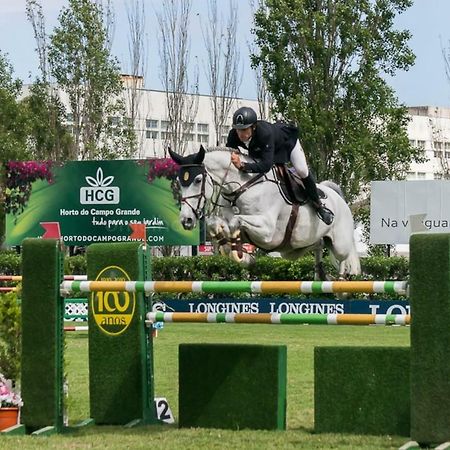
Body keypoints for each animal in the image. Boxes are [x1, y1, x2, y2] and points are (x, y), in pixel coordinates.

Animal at [170, 146, 362, 280]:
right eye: (179, 182)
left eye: (197, 180)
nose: (186, 220)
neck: (242, 187)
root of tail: (338, 198)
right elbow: (216, 223)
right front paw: (233, 249)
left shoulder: (267, 231)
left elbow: (235, 221)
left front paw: (240, 254)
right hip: (293, 249)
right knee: (318, 245)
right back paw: (321, 273)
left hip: (340, 244)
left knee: (344, 256)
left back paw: (342, 281)